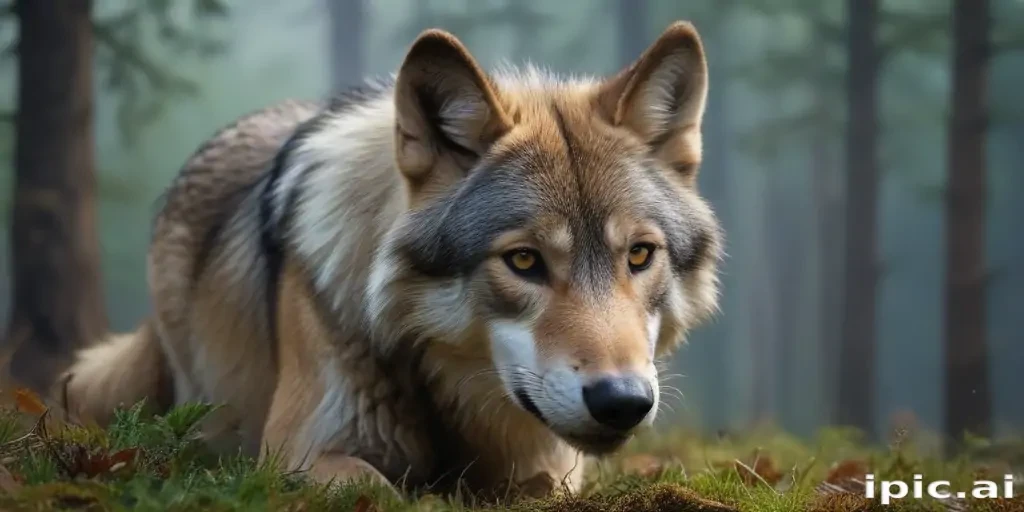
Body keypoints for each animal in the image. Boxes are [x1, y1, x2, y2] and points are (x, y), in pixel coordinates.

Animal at [60, 21, 723, 496]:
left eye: (639, 255)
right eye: (524, 261)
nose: (623, 402)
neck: (441, 386)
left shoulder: (550, 466)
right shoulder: (293, 453)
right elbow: (378, 488)